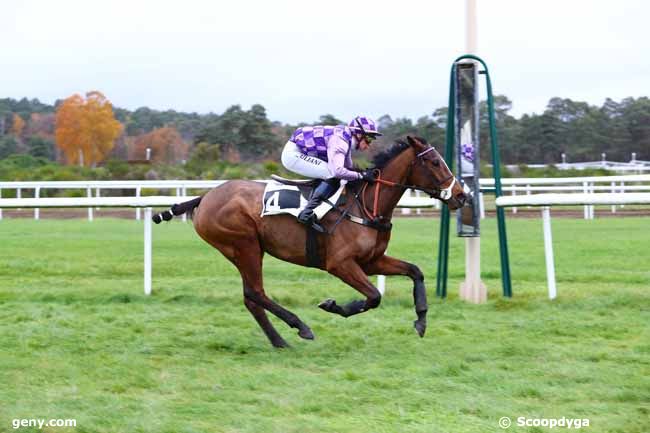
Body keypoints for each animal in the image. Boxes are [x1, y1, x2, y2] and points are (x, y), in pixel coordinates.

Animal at [152, 136, 466, 348]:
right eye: (435, 162)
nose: (462, 195)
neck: (365, 204)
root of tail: (206, 196)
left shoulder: (371, 260)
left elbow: (415, 271)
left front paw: (421, 320)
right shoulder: (340, 263)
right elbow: (374, 296)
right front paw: (333, 305)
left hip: (244, 250)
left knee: (251, 298)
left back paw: (280, 341)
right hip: (245, 246)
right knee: (255, 292)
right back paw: (300, 327)